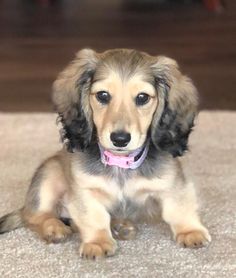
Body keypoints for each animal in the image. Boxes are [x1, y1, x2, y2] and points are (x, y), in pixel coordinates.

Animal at [0, 47, 211, 258]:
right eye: (102, 95)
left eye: (142, 97)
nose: (120, 139)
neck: (121, 163)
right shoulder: (85, 190)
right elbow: (94, 217)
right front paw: (97, 242)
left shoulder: (172, 183)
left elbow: (178, 208)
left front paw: (190, 231)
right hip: (49, 174)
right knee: (36, 216)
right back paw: (54, 227)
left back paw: (120, 226)